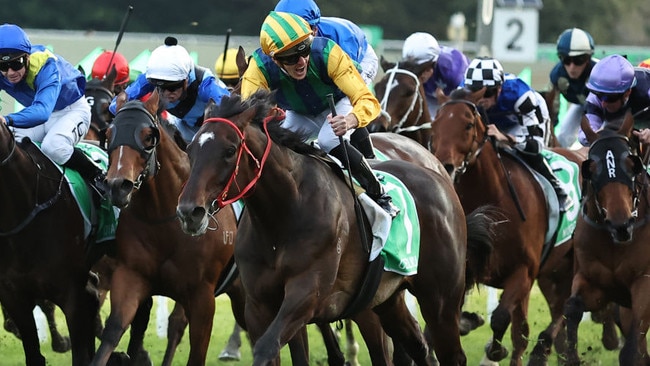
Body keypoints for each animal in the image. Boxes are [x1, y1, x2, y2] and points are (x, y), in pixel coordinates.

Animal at [91, 89, 240, 366]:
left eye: (148, 137)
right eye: (110, 134)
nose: (117, 186)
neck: (163, 217)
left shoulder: (202, 296)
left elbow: (191, 343)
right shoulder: (130, 277)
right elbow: (113, 332)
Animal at [175, 90, 494, 364]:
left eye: (230, 150)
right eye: (189, 149)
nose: (189, 212)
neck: (282, 217)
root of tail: (441, 178)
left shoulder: (307, 294)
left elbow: (265, 348)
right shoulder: (260, 304)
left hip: (440, 300)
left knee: (451, 354)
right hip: (387, 300)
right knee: (419, 347)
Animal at [428, 89, 584, 366]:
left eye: (468, 124)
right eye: (435, 124)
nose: (445, 165)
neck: (495, 201)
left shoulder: (524, 271)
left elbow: (502, 318)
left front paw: (495, 350)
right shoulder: (465, 269)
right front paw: (469, 321)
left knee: (565, 309)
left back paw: (542, 347)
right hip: (553, 272)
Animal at [560, 114, 648, 366]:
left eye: (631, 165)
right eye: (591, 168)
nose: (621, 224)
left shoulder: (644, 284)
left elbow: (631, 350)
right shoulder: (594, 282)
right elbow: (572, 307)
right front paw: (571, 357)